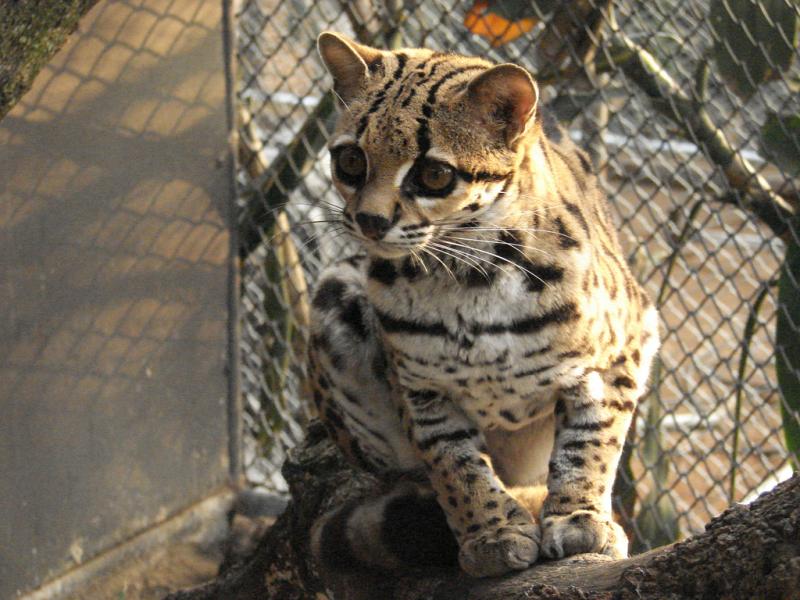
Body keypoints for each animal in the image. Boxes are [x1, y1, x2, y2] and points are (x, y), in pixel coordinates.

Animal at [306, 31, 656, 576]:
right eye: (350, 162)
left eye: (433, 175)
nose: (370, 221)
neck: (470, 282)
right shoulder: (422, 387)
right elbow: (457, 465)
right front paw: (492, 533)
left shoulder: (625, 344)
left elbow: (591, 442)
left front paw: (579, 518)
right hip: (335, 289)